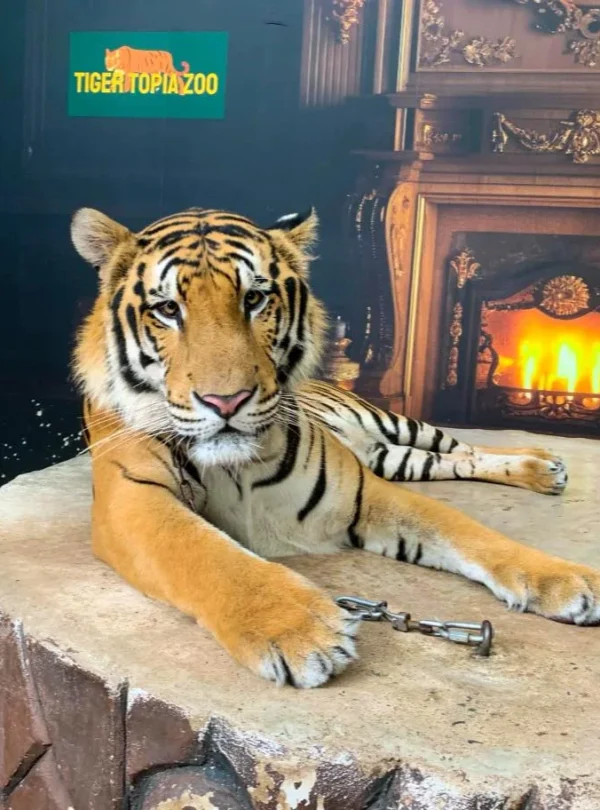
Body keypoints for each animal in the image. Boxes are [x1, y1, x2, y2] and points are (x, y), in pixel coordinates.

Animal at [70, 205, 600, 689]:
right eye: (167, 310)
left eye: (254, 299)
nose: (227, 400)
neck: (235, 469)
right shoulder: (132, 497)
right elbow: (204, 551)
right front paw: (299, 628)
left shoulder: (367, 492)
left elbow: (464, 530)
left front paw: (570, 580)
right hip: (398, 458)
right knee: (451, 461)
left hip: (399, 427)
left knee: (465, 448)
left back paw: (544, 466)